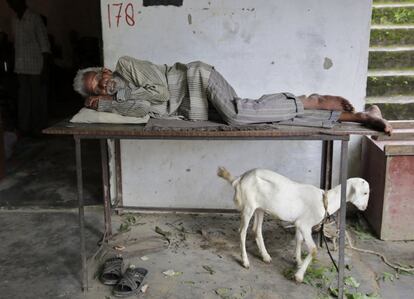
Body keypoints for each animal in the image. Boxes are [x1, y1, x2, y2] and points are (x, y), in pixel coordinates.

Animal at [217, 169, 368, 284]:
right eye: (365, 192)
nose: (365, 208)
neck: (325, 201)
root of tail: (239, 179)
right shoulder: (305, 225)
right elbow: (313, 250)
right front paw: (299, 276)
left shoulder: (299, 223)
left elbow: (299, 240)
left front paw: (298, 261)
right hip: (248, 207)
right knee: (242, 232)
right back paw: (245, 261)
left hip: (260, 208)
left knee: (256, 230)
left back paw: (265, 256)